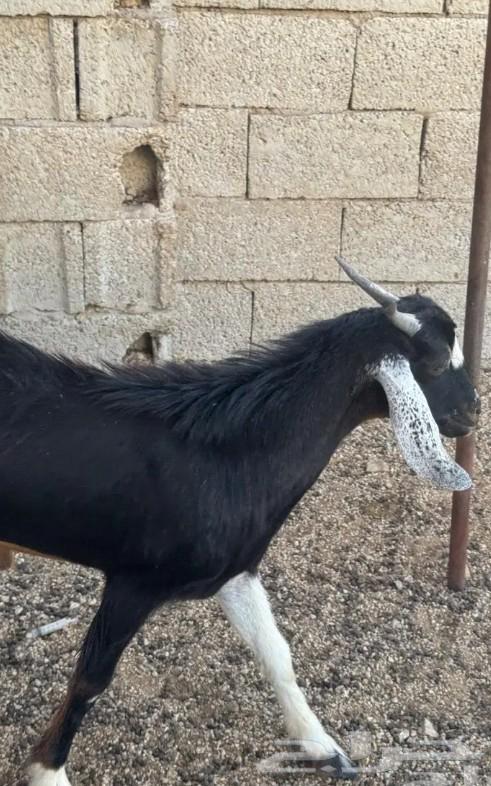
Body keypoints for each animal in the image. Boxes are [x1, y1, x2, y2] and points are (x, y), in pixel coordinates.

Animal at [0, 259, 480, 785]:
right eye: (436, 363)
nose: (474, 410)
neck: (231, 452)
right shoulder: (133, 583)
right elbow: (90, 679)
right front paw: (48, 769)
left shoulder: (236, 572)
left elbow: (277, 654)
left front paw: (322, 748)